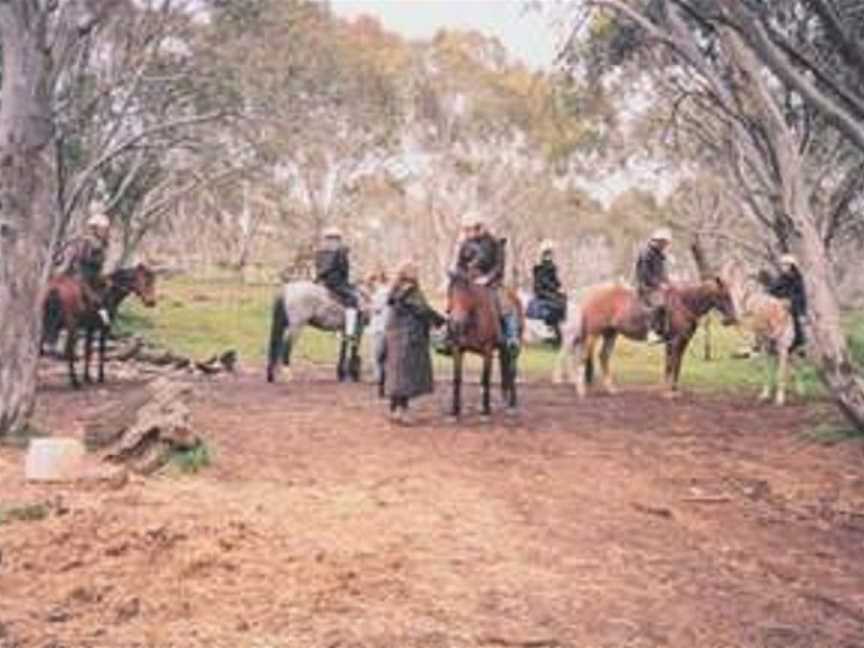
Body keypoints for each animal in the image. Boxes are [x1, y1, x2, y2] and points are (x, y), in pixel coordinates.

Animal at [446, 274, 528, 420]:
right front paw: (455, 412)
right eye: (450, 292)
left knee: (512, 372)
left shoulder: (487, 351)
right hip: (503, 349)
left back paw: (512, 406)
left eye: (466, 294)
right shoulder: (458, 350)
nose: (455, 323)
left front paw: (485, 411)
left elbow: (485, 379)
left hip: (514, 348)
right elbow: (457, 379)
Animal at [552, 278, 736, 398]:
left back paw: (611, 389)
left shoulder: (682, 341)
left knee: (603, 357)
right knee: (582, 357)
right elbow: (671, 364)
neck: (684, 303)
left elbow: (676, 365)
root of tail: (589, 294)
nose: (731, 319)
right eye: (724, 295)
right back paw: (581, 389)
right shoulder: (674, 341)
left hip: (610, 333)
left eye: (730, 294)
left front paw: (674, 389)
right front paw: (667, 391)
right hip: (593, 334)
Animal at [720, 260, 800, 404]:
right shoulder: (765, 346)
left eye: (746, 281)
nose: (727, 320)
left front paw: (780, 398)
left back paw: (798, 389)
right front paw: (765, 394)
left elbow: (781, 372)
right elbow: (766, 369)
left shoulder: (783, 346)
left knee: (793, 362)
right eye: (727, 284)